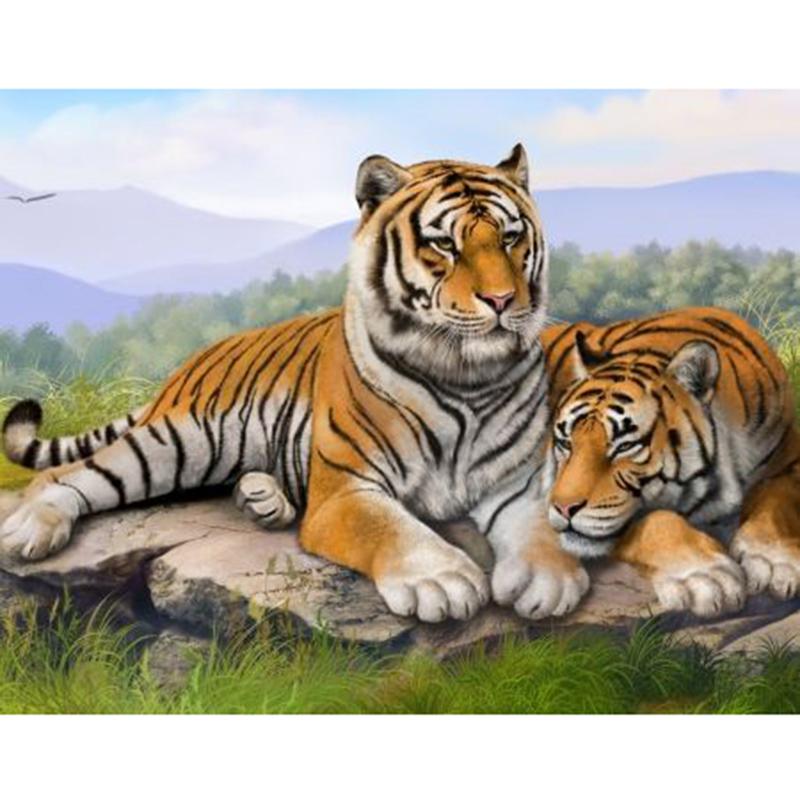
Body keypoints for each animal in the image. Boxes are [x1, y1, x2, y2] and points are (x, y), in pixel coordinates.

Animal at [0, 145, 590, 624]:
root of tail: (193, 360)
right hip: (174, 443)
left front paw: (549, 579)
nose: (502, 301)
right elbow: (392, 528)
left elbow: (542, 526)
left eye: (511, 238)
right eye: (444, 244)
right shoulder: (348, 489)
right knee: (64, 474)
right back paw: (30, 530)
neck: (466, 378)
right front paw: (441, 581)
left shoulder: (519, 481)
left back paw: (263, 498)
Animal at [541, 306, 800, 618]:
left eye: (625, 446)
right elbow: (655, 518)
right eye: (566, 442)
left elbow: (780, 498)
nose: (563, 508)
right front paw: (705, 575)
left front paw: (774, 562)